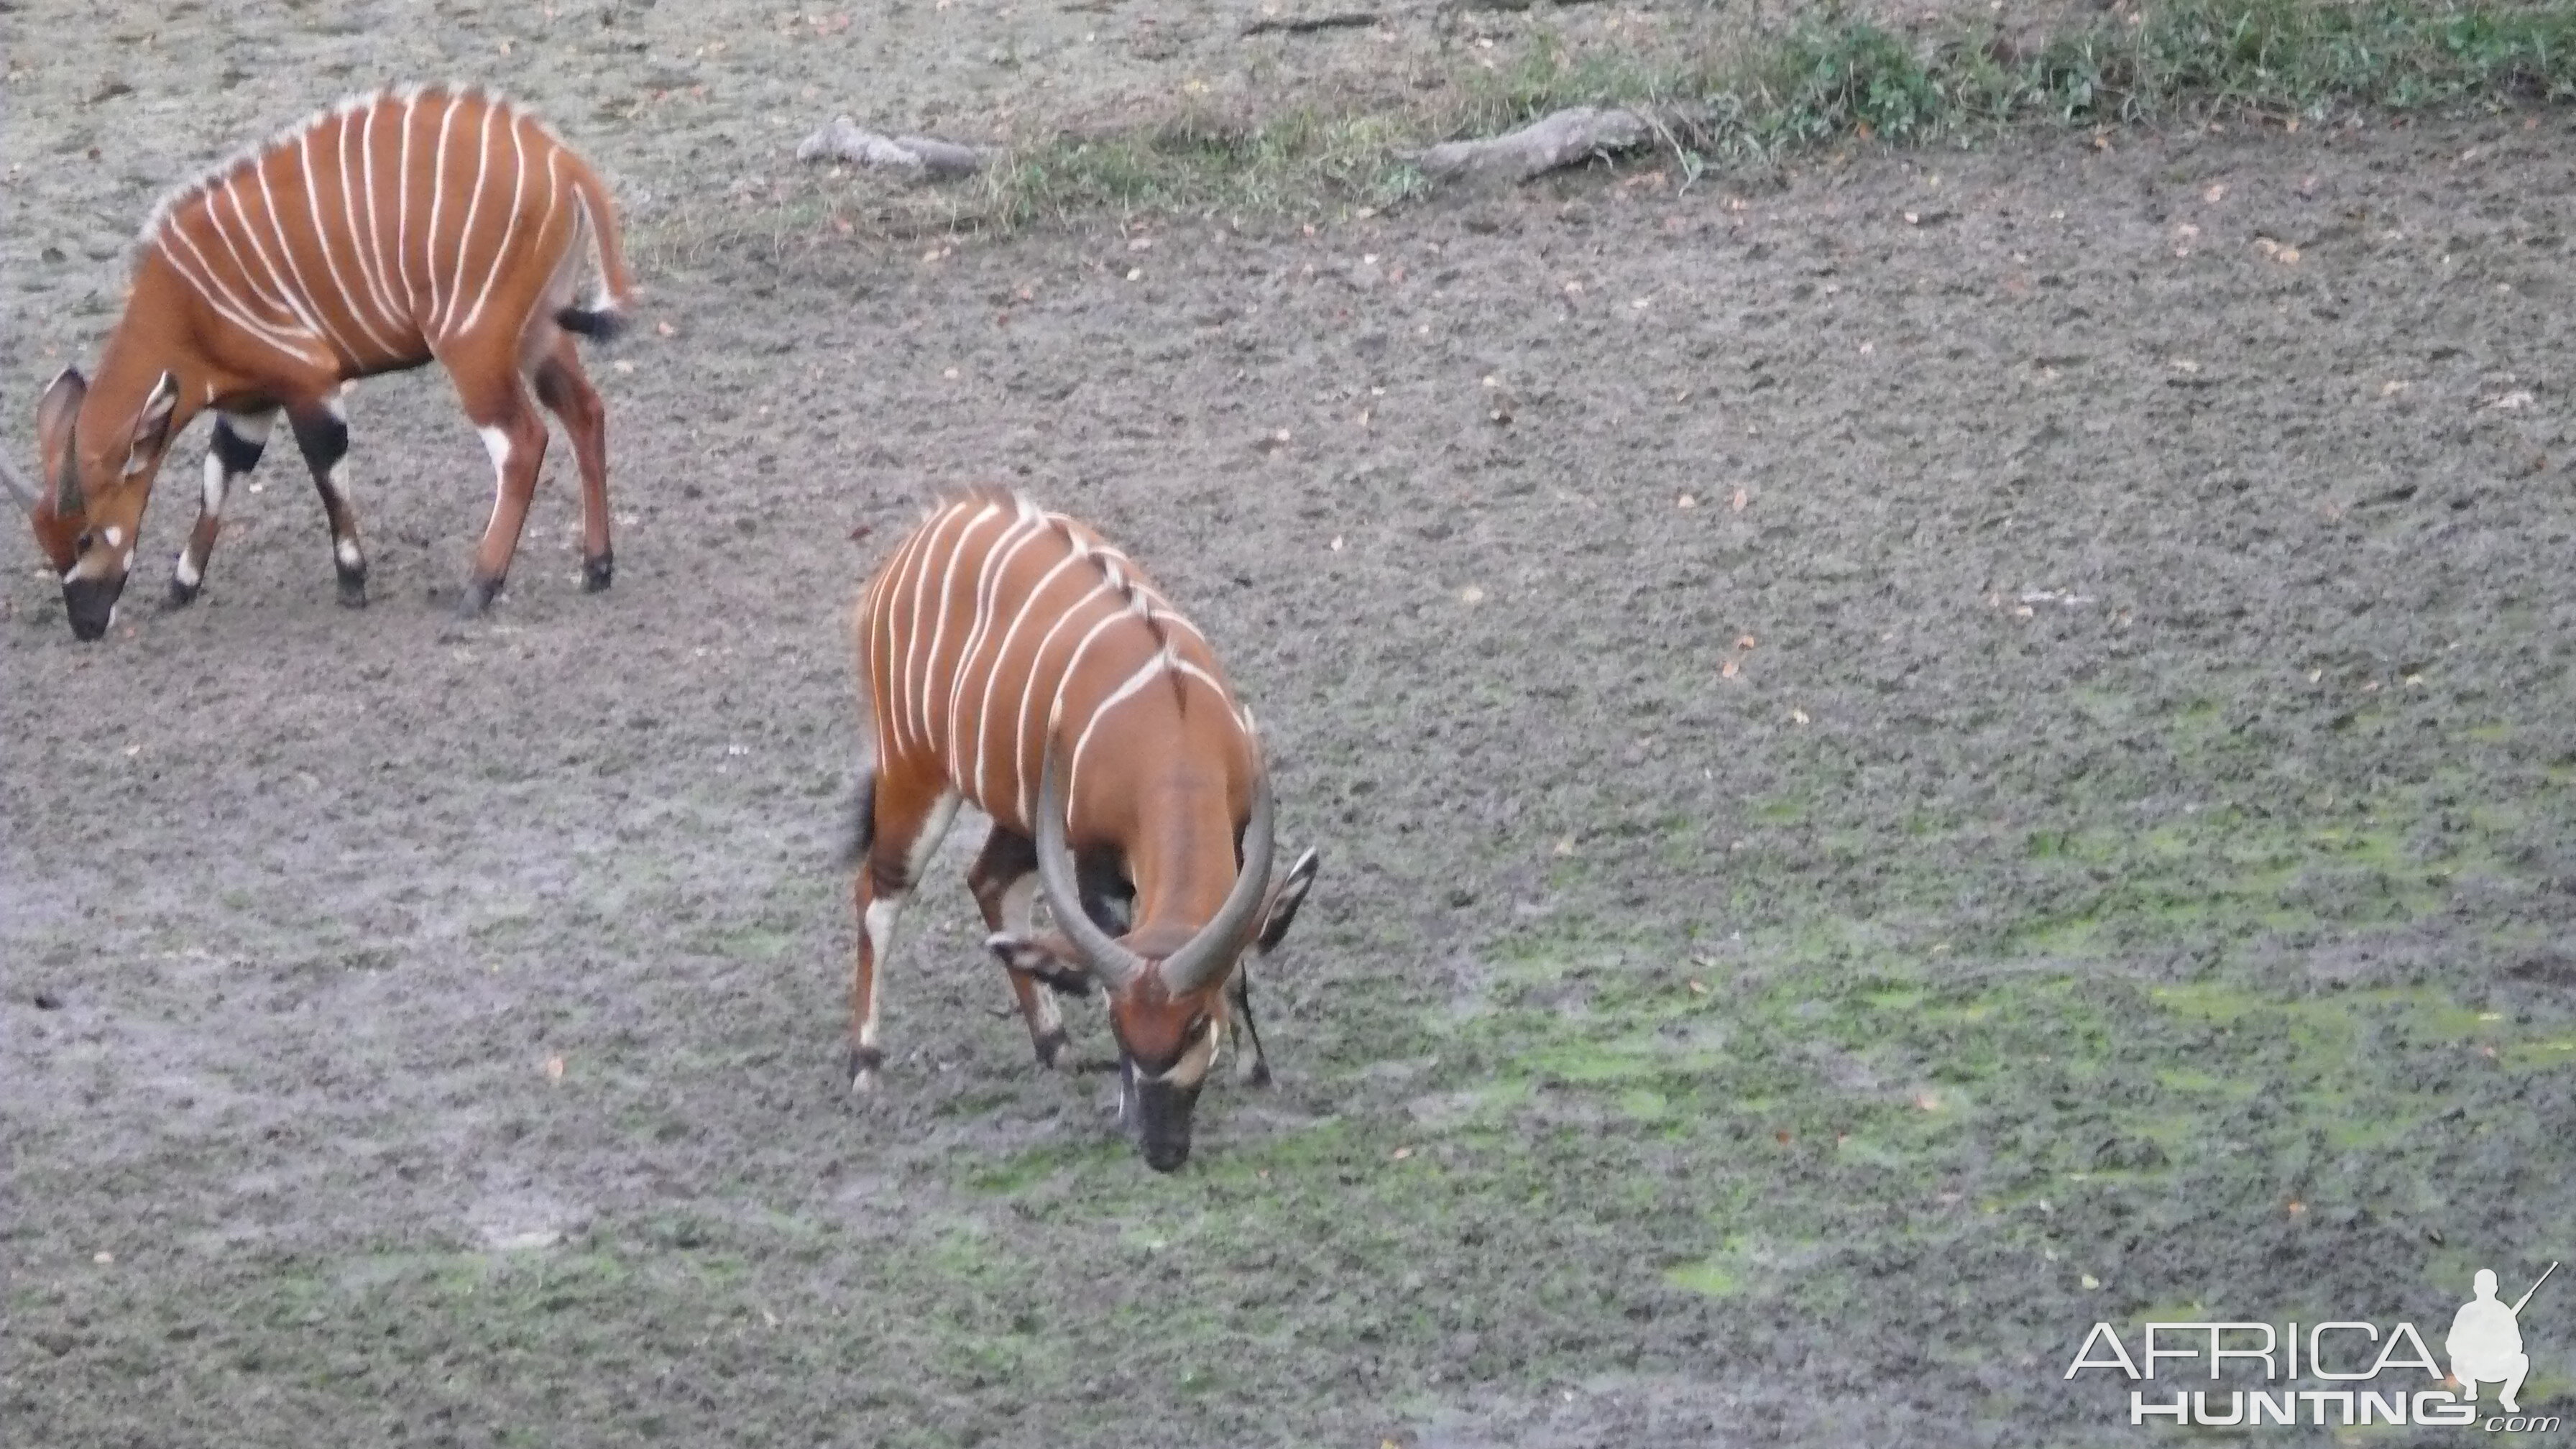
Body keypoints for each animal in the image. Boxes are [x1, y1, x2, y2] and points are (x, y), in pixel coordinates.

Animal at [2, 84, 636, 637]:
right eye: (48, 544)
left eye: (85, 537)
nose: (86, 626)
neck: (182, 305)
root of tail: (563, 162)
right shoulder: (250, 404)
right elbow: (220, 477)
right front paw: (182, 586)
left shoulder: (308, 381)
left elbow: (326, 469)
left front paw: (353, 581)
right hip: (539, 334)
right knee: (585, 413)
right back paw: (596, 567)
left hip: (473, 346)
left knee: (523, 442)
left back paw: (479, 588)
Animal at [850, 489, 1319, 1165]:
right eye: (1122, 1026)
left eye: (1195, 1024)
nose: (1163, 1150)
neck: (1171, 735)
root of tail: (927, 530)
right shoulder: (1093, 862)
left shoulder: (1235, 836)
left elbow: (1237, 959)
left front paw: (1256, 1070)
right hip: (915, 770)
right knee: (878, 891)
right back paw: (865, 1062)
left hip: (1019, 808)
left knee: (987, 882)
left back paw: (1057, 1047)